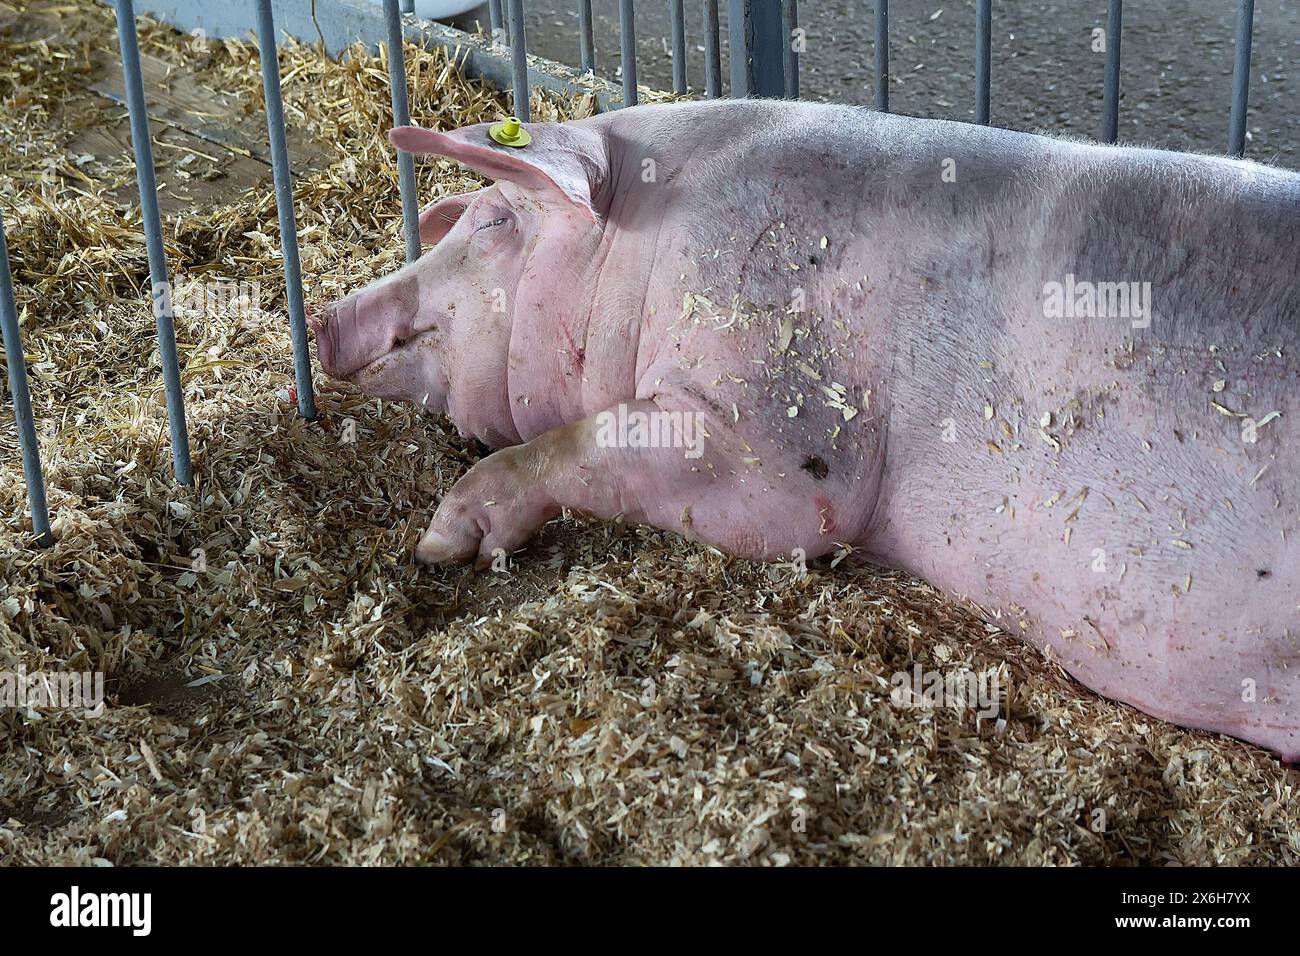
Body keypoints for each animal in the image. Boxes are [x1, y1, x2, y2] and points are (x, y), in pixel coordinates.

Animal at [314, 98, 1300, 764]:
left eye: (492, 222)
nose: (326, 318)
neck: (648, 249)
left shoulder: (781, 433)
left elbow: (595, 447)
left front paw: (440, 544)